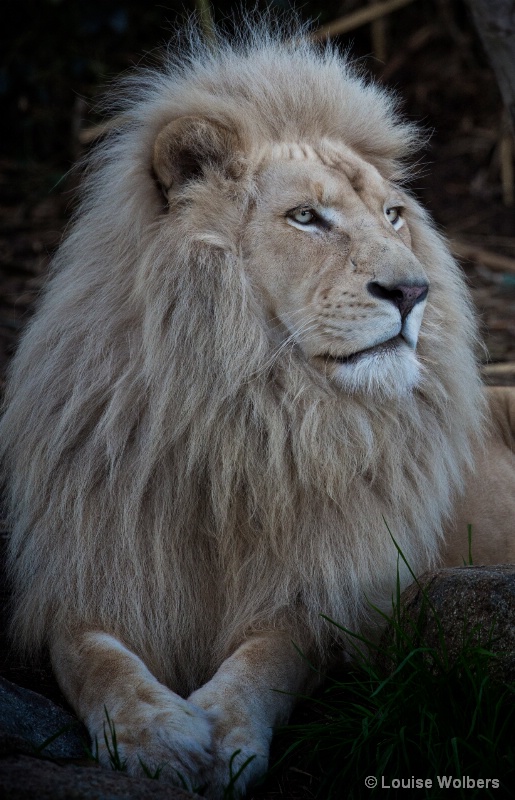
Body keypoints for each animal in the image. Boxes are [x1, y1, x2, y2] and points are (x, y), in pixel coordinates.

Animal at [1, 18, 515, 800]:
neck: (242, 412)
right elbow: (94, 660)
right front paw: (161, 734)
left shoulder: (323, 599)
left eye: (392, 215)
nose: (413, 291)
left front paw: (224, 733)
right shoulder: (84, 574)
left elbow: (270, 660)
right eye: (306, 217)